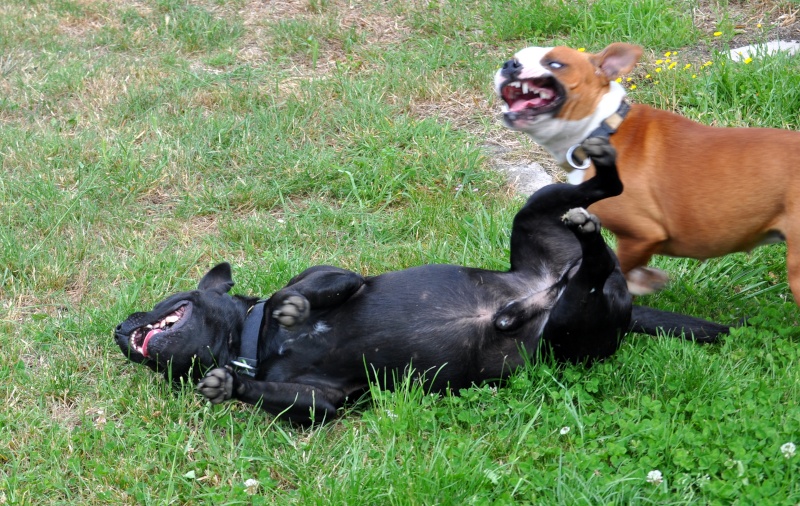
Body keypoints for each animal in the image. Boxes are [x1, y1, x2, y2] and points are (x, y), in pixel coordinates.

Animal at [114, 137, 732, 422]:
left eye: (162, 300)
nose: (120, 329)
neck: (253, 340)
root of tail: (557, 282)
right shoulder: (326, 399)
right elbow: (288, 398)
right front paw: (228, 387)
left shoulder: (341, 276)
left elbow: (307, 287)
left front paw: (291, 305)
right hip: (565, 327)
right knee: (594, 265)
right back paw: (572, 257)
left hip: (539, 211)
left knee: (605, 197)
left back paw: (598, 176)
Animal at [494, 42, 800, 300]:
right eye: (516, 57)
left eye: (555, 64)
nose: (510, 64)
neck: (604, 125)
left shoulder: (641, 235)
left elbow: (618, 270)